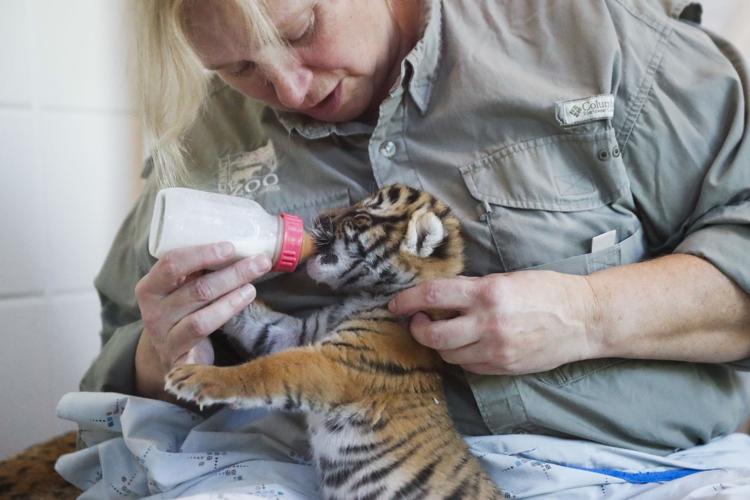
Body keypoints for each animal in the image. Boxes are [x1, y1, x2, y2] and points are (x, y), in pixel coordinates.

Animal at [165, 184, 504, 499]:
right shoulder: (301, 333)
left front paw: (194, 378)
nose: (319, 217)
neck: (366, 296)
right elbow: (256, 321)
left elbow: (265, 370)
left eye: (360, 216)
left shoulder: (334, 363)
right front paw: (200, 265)